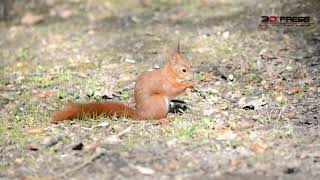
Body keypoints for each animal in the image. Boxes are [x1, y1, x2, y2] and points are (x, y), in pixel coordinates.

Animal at [51, 43, 194, 124]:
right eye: (184, 70)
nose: (192, 77)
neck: (170, 74)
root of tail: (141, 115)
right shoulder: (165, 83)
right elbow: (172, 89)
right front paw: (188, 85)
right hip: (158, 102)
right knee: (155, 118)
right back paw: (167, 117)